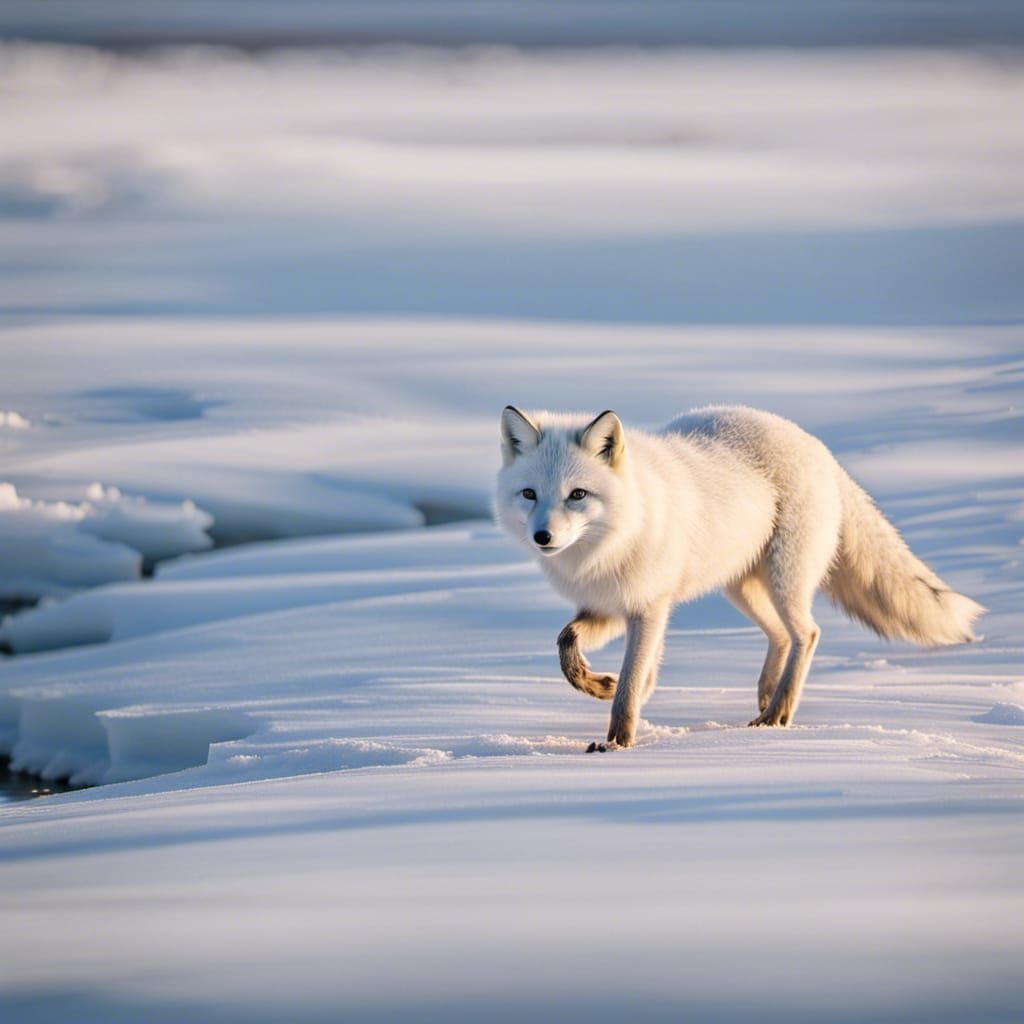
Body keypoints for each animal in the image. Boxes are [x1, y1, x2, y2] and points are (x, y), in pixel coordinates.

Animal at [494, 404, 984, 751]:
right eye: (529, 494)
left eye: (577, 494)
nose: (543, 536)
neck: (612, 539)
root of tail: (814, 445)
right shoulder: (611, 606)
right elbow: (568, 645)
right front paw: (597, 685)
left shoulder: (649, 608)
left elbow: (632, 682)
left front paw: (618, 742)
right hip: (742, 588)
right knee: (781, 636)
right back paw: (766, 701)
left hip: (785, 582)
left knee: (808, 633)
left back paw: (779, 712)